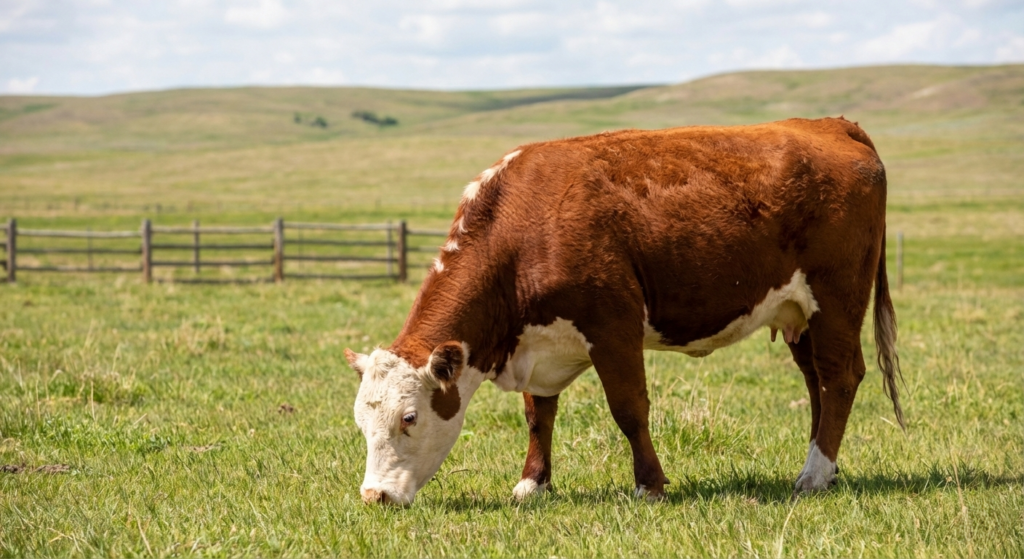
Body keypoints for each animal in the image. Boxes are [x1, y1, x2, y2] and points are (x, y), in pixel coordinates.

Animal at [346, 117, 904, 506]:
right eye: (360, 422)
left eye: (410, 417)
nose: (375, 496)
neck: (522, 229)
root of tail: (830, 125)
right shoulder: (537, 343)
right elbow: (538, 415)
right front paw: (532, 483)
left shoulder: (613, 328)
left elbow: (630, 410)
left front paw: (649, 484)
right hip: (797, 313)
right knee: (817, 382)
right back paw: (824, 467)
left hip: (835, 299)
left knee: (840, 376)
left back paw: (813, 474)